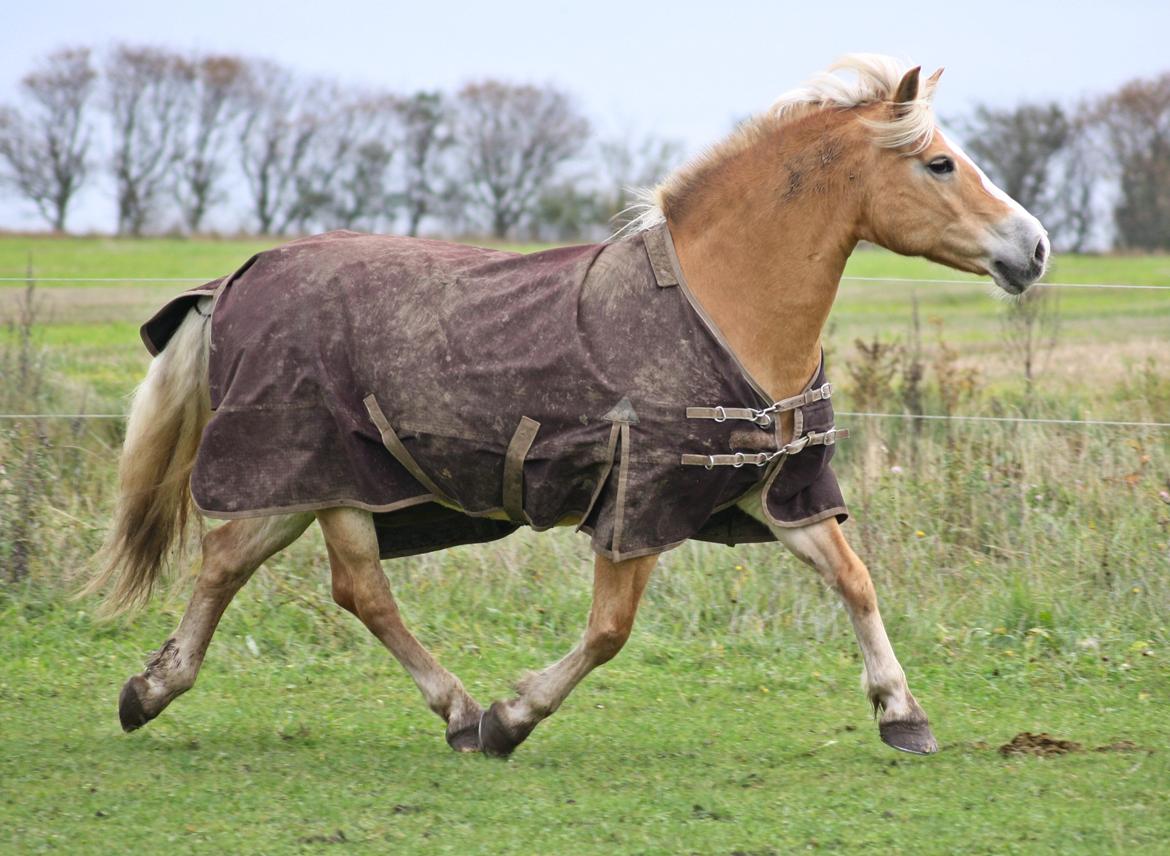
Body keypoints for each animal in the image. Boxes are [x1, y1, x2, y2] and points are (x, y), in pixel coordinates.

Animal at [86, 56, 1048, 757]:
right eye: (939, 162)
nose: (1034, 247)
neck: (722, 304)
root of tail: (236, 281)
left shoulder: (777, 491)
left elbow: (854, 577)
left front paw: (902, 714)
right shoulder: (639, 502)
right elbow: (611, 630)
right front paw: (512, 719)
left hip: (317, 485)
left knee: (251, 566)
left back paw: (151, 691)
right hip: (322, 474)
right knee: (334, 584)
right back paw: (457, 712)